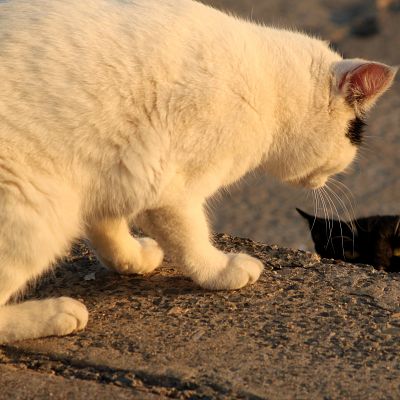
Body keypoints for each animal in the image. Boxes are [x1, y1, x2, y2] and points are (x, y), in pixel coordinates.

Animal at [0, 0, 396, 344]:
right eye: (354, 138)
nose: (332, 176)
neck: (268, 85)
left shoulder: (114, 172)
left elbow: (108, 228)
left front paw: (133, 259)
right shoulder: (171, 191)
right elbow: (191, 240)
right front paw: (221, 271)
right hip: (36, 210)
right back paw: (54, 314)